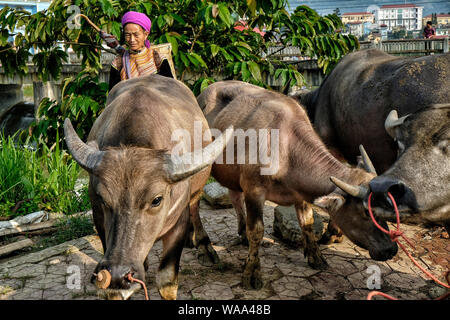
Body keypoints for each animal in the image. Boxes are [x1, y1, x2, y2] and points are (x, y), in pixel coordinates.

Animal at [64, 74, 232, 298]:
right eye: (102, 199)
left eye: (156, 200)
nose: (118, 274)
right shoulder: (99, 220)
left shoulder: (177, 222)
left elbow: (167, 281)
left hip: (197, 189)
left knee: (195, 206)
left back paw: (204, 245)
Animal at [197, 80, 398, 290]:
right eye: (366, 212)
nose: (391, 249)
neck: (287, 149)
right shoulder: (254, 191)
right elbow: (257, 231)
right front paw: (251, 273)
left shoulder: (301, 193)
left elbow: (307, 222)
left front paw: (315, 256)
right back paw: (206, 247)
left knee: (235, 197)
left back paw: (241, 233)